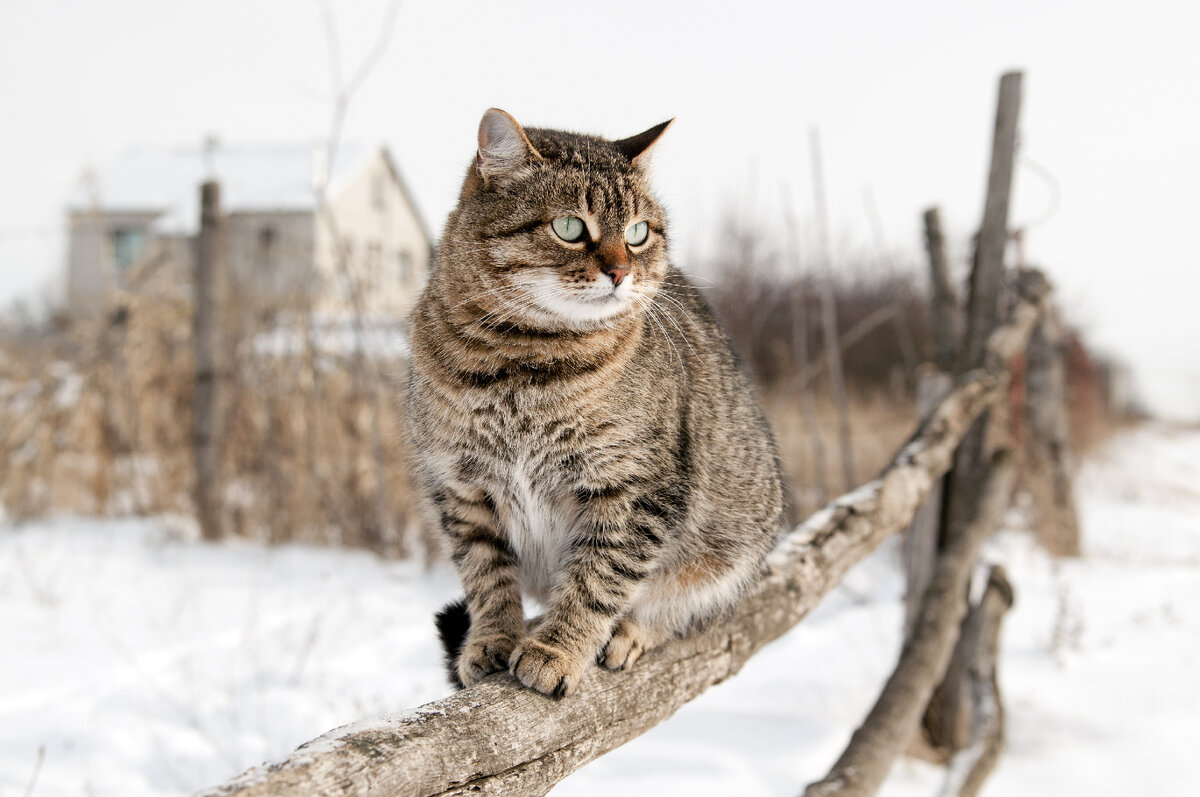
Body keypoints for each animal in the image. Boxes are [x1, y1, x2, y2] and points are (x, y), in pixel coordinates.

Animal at [408, 107, 782, 696]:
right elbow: (487, 577)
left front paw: (557, 650)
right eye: (569, 228)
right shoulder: (462, 488)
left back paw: (630, 633)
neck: (523, 364)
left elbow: (596, 581)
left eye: (637, 232)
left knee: (683, 607)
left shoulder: (634, 490)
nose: (621, 272)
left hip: (731, 546)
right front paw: (492, 640)